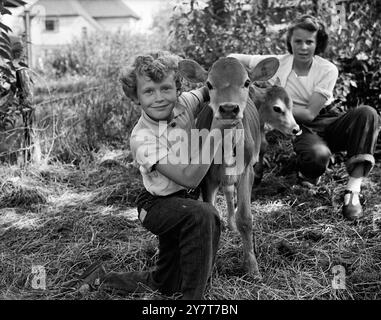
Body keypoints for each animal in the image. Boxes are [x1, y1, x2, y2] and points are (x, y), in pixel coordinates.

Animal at [178, 57, 300, 278]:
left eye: (246, 82)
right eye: (209, 84)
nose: (228, 108)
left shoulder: (247, 171)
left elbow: (245, 218)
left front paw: (252, 266)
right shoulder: (207, 176)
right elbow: (212, 214)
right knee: (227, 190)